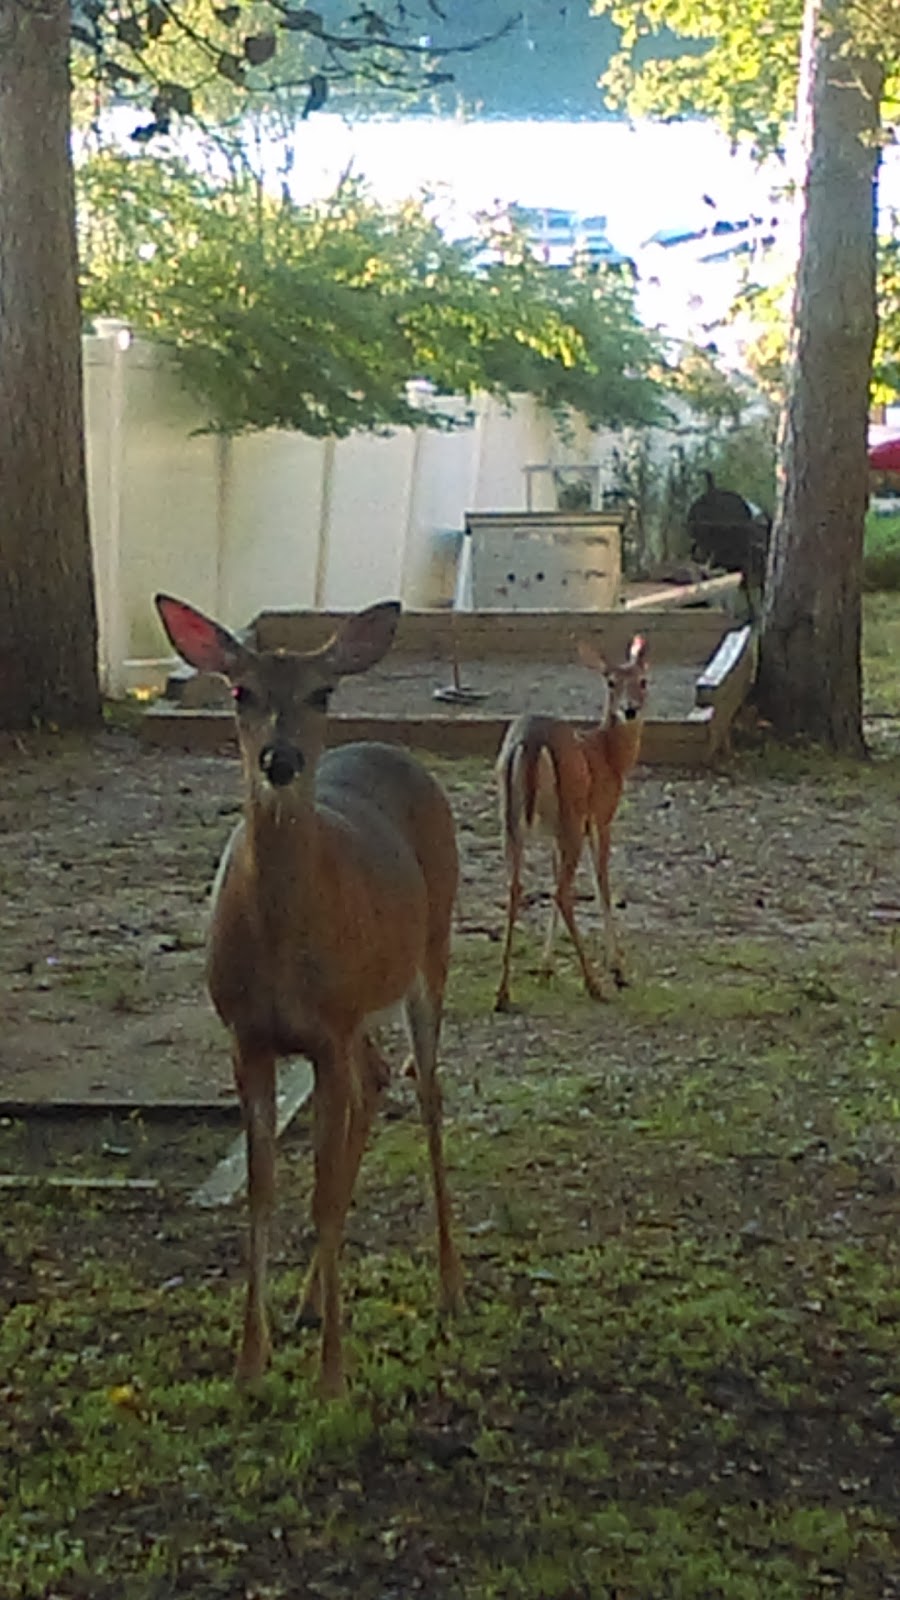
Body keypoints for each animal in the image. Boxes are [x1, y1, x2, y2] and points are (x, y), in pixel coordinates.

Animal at [152, 595, 458, 1395]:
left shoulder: (325, 1032)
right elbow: (265, 1187)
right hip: (360, 1008)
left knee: (428, 1091)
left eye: (322, 693)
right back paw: (310, 1301)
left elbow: (319, 1188)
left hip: (431, 951)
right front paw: (249, 1365)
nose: (280, 760)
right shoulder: (249, 1036)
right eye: (239, 690)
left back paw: (451, 1286)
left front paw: (331, 1378)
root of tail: (393, 750)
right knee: (377, 1078)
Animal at [490, 636, 643, 1011]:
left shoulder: (552, 833)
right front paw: (618, 968)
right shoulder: (600, 816)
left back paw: (502, 993)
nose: (631, 710)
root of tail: (529, 742)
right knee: (562, 892)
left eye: (644, 680)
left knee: (516, 887)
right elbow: (603, 883)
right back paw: (594, 984)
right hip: (570, 815)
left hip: (510, 818)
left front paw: (545, 968)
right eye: (611, 682)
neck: (609, 756)